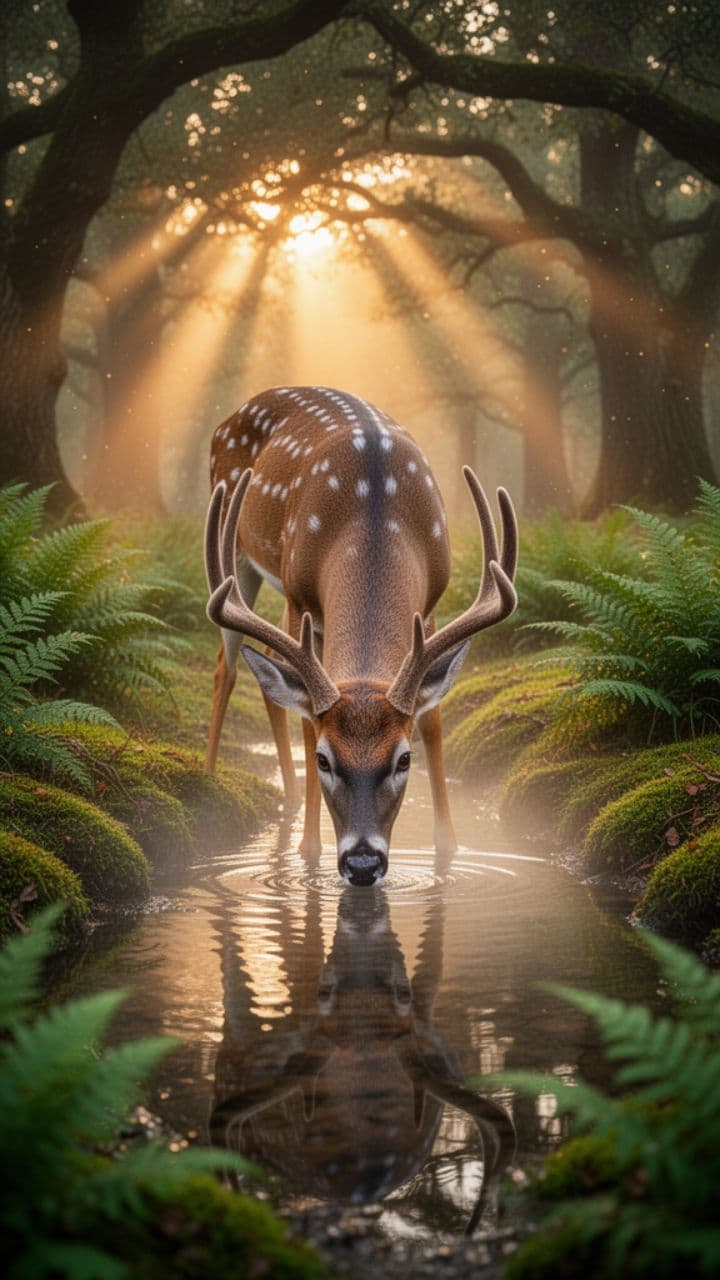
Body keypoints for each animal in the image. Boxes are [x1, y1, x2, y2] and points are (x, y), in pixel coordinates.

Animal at [204, 386, 517, 886]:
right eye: (324, 760)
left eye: (404, 759)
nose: (363, 863)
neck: (370, 513)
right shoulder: (298, 593)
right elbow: (308, 720)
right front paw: (308, 852)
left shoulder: (432, 600)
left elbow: (433, 719)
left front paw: (448, 849)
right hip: (235, 556)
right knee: (227, 667)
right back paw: (209, 781)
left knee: (266, 666)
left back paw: (288, 797)